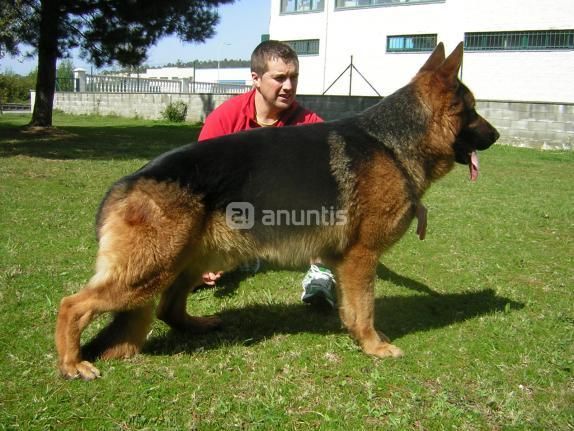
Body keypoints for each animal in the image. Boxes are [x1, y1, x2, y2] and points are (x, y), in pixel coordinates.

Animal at [56, 44, 502, 380]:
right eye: (473, 109)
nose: (497, 135)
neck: (391, 143)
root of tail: (124, 184)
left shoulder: (347, 262)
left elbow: (352, 308)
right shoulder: (362, 258)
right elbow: (365, 310)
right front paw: (374, 346)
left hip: (190, 260)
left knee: (167, 307)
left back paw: (196, 325)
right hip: (151, 269)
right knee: (72, 304)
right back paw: (72, 363)